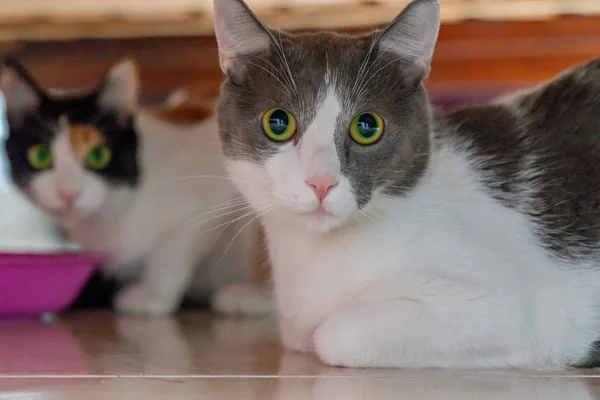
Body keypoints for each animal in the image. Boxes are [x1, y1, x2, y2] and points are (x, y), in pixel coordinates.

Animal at [1, 57, 274, 318]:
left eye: (98, 155)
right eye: (41, 156)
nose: (68, 194)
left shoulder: (210, 199)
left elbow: (171, 251)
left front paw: (154, 294)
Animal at [214, 0, 600, 368]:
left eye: (367, 126)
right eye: (278, 122)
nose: (320, 182)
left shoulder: (510, 311)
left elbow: (331, 335)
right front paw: (246, 297)